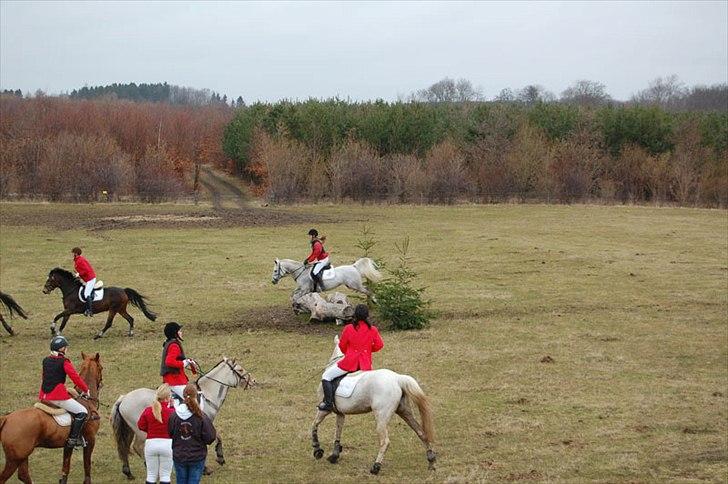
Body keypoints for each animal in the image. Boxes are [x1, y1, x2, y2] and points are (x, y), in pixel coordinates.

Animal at [0, 352, 104, 484]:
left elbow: (65, 468)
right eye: (101, 368)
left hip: (22, 456)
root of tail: (7, 418)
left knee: (23, 475)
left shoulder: (68, 444)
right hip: (14, 459)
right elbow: (87, 465)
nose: (101, 384)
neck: (86, 400)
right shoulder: (90, 440)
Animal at [109, 358, 255, 478]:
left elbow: (217, 436)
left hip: (130, 429)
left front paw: (219, 458)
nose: (253, 381)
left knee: (126, 448)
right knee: (138, 447)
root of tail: (124, 398)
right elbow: (209, 441)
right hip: (141, 431)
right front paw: (207, 466)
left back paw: (128, 472)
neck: (206, 394)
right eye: (240, 370)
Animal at [310, 336, 436, 472]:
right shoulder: (340, 413)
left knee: (385, 441)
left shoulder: (324, 410)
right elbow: (338, 432)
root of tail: (397, 378)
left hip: (381, 417)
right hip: (404, 411)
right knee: (421, 432)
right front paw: (334, 455)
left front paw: (317, 450)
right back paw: (431, 461)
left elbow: (314, 425)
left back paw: (376, 466)